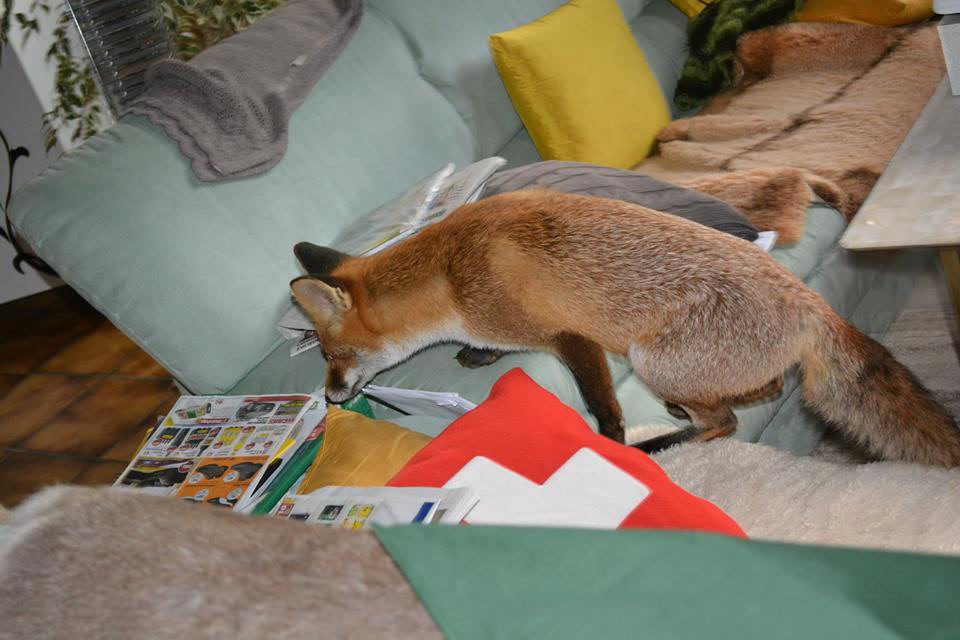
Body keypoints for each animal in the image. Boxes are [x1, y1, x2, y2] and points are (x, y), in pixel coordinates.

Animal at [290, 189, 960, 464]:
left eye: (330, 354)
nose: (328, 398)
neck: (450, 276)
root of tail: (812, 302)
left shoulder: (570, 337)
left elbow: (601, 408)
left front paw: (610, 446)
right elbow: (488, 347)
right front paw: (479, 357)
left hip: (650, 359)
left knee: (726, 424)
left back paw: (657, 445)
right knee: (760, 392)